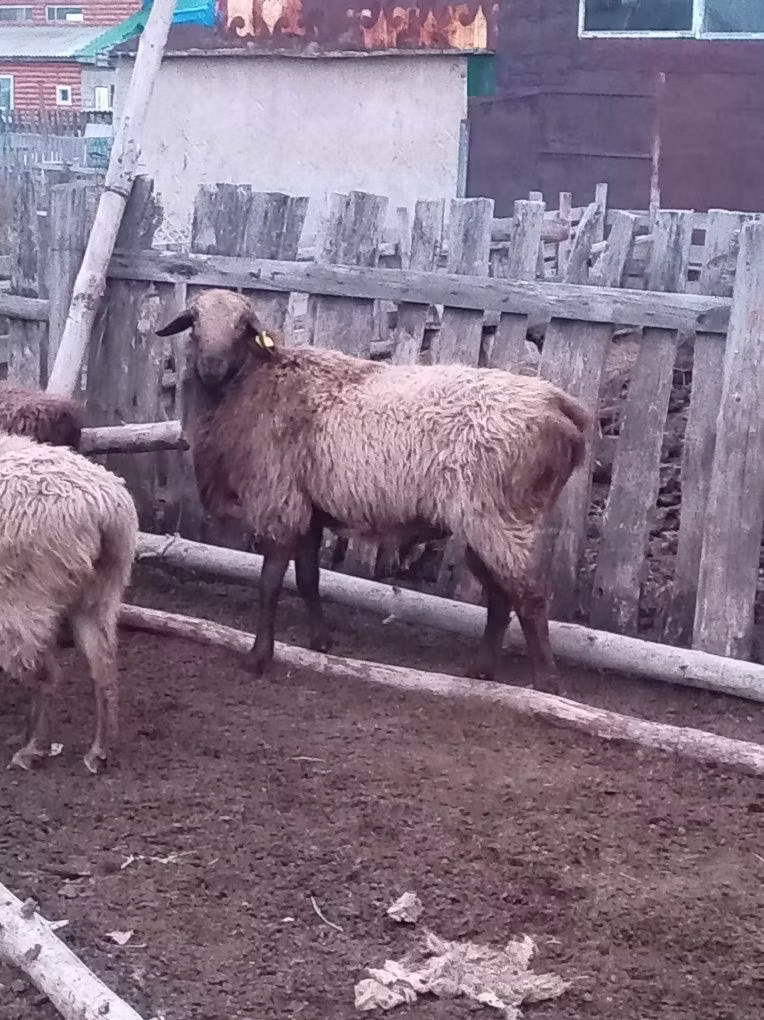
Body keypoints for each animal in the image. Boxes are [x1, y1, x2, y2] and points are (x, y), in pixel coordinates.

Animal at [0, 431, 138, 773]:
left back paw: (33, 748)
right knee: (103, 666)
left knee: (45, 675)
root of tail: (104, 509)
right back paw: (98, 752)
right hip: (99, 594)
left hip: (23, 599)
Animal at [156, 289, 591, 694]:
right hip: (484, 522)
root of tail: (560, 406)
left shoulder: (279, 502)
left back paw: (547, 687)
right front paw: (321, 643)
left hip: (501, 516)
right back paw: (481, 672)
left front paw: (259, 657)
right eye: (194, 323)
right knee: (501, 596)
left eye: (242, 327)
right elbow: (309, 579)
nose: (211, 368)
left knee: (530, 597)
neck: (253, 384)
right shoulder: (309, 509)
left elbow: (269, 585)